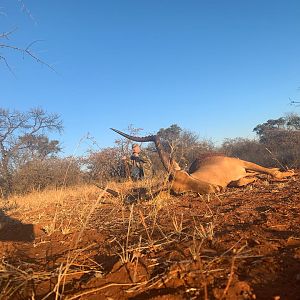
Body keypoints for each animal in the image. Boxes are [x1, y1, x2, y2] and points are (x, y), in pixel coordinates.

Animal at [110, 127, 296, 195]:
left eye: (187, 175)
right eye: (180, 192)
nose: (215, 188)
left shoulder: (243, 162)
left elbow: (272, 173)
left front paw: (288, 173)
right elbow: (239, 182)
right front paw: (252, 180)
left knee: (269, 169)